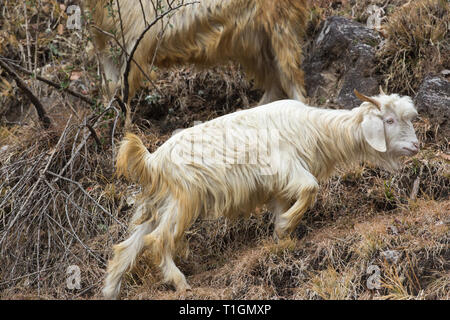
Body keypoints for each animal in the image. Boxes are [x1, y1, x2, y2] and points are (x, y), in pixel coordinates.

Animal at [85, 0, 310, 103]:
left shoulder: (134, 41)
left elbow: (124, 90)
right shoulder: (104, 41)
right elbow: (110, 86)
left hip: (281, 30)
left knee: (293, 83)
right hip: (255, 43)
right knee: (276, 83)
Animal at [103, 89, 420, 298]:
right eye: (389, 120)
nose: (416, 146)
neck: (313, 128)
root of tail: (153, 161)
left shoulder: (279, 186)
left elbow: (285, 206)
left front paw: (282, 238)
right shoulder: (286, 166)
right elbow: (310, 187)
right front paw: (286, 226)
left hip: (159, 205)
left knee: (128, 246)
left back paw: (110, 290)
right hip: (184, 201)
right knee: (157, 240)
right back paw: (180, 282)